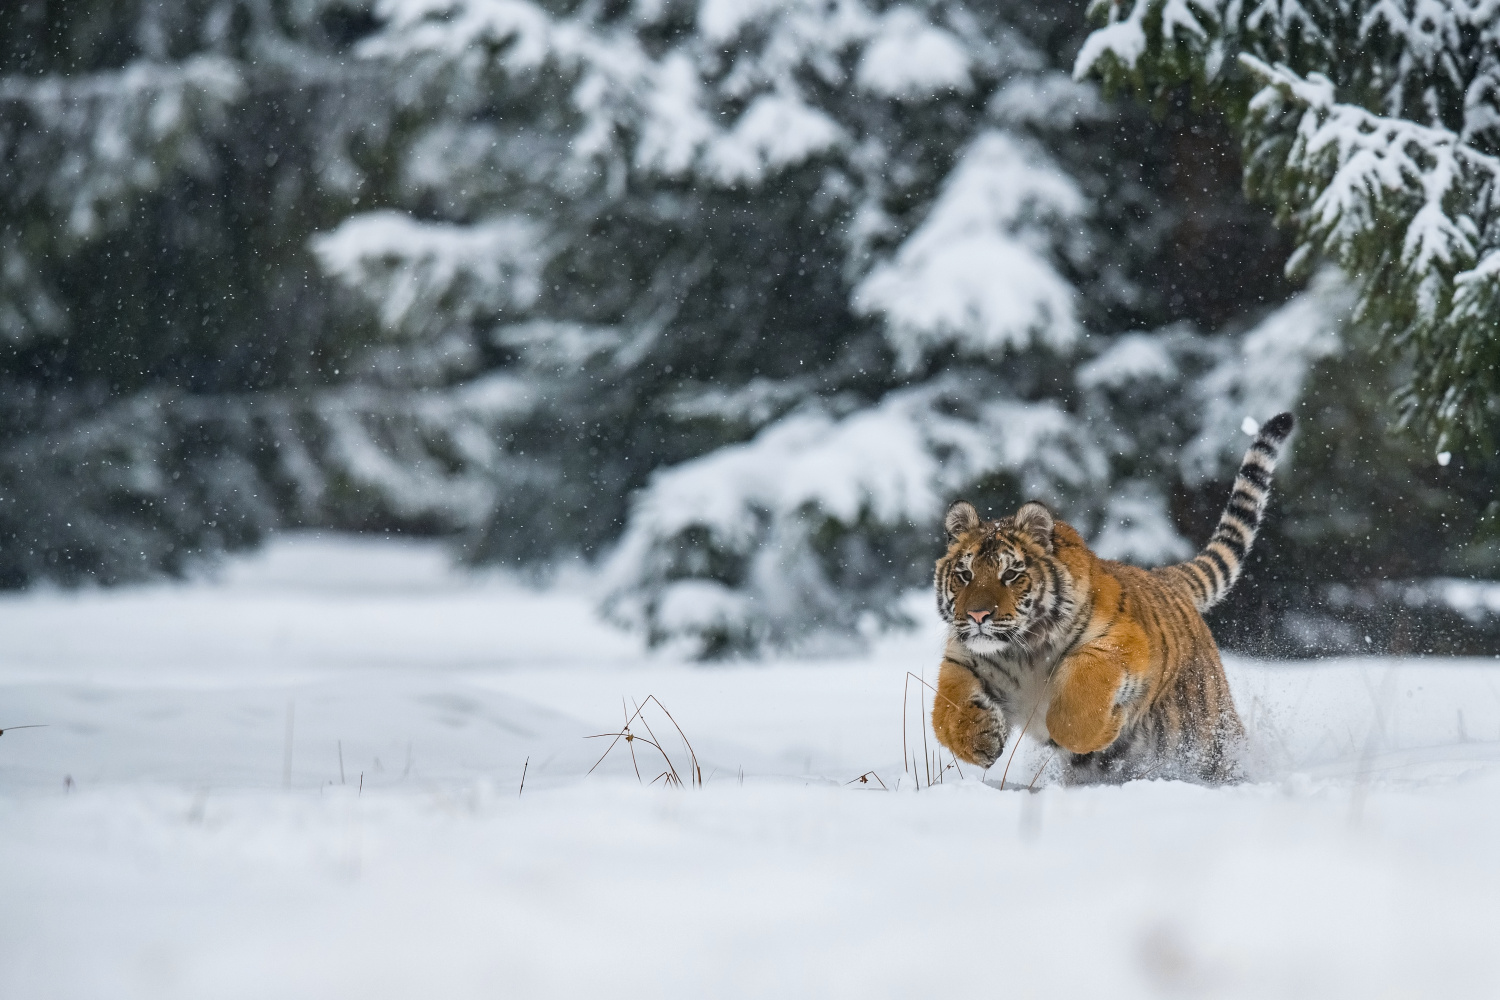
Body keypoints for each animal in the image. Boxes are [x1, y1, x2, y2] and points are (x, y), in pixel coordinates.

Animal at [930, 410, 1296, 785]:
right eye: (965, 575)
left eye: (1010, 575)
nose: (977, 616)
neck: (1022, 652)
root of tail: (1164, 576)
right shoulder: (963, 658)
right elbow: (947, 710)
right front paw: (980, 738)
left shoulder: (1119, 643)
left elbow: (1076, 706)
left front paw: (1107, 726)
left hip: (1208, 733)